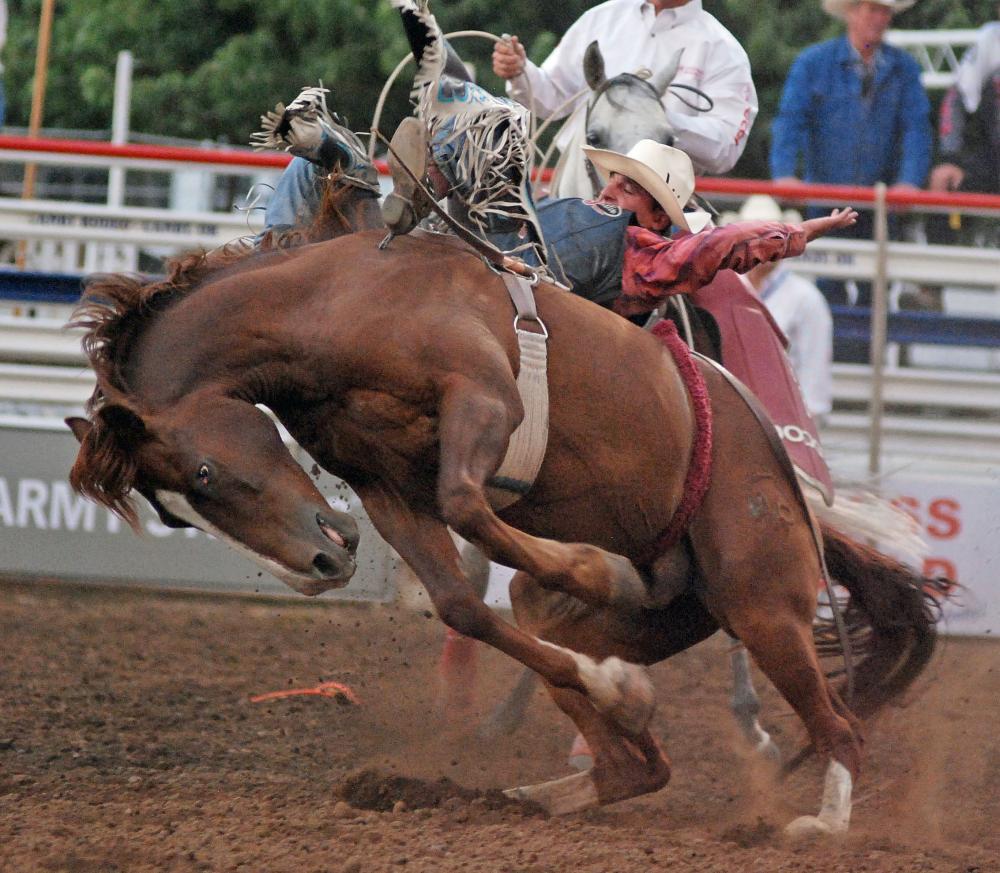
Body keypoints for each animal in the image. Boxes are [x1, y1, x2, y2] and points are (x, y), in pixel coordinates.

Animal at [66, 170, 940, 832]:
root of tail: (799, 499)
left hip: (763, 603)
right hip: (658, 617)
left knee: (839, 727)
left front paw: (600, 570)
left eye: (205, 473)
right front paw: (614, 683)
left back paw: (820, 822)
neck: (334, 299)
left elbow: (469, 505)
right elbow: (461, 603)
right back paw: (535, 780)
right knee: (634, 761)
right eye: (171, 511)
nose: (319, 564)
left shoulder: (485, 401)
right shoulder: (386, 485)